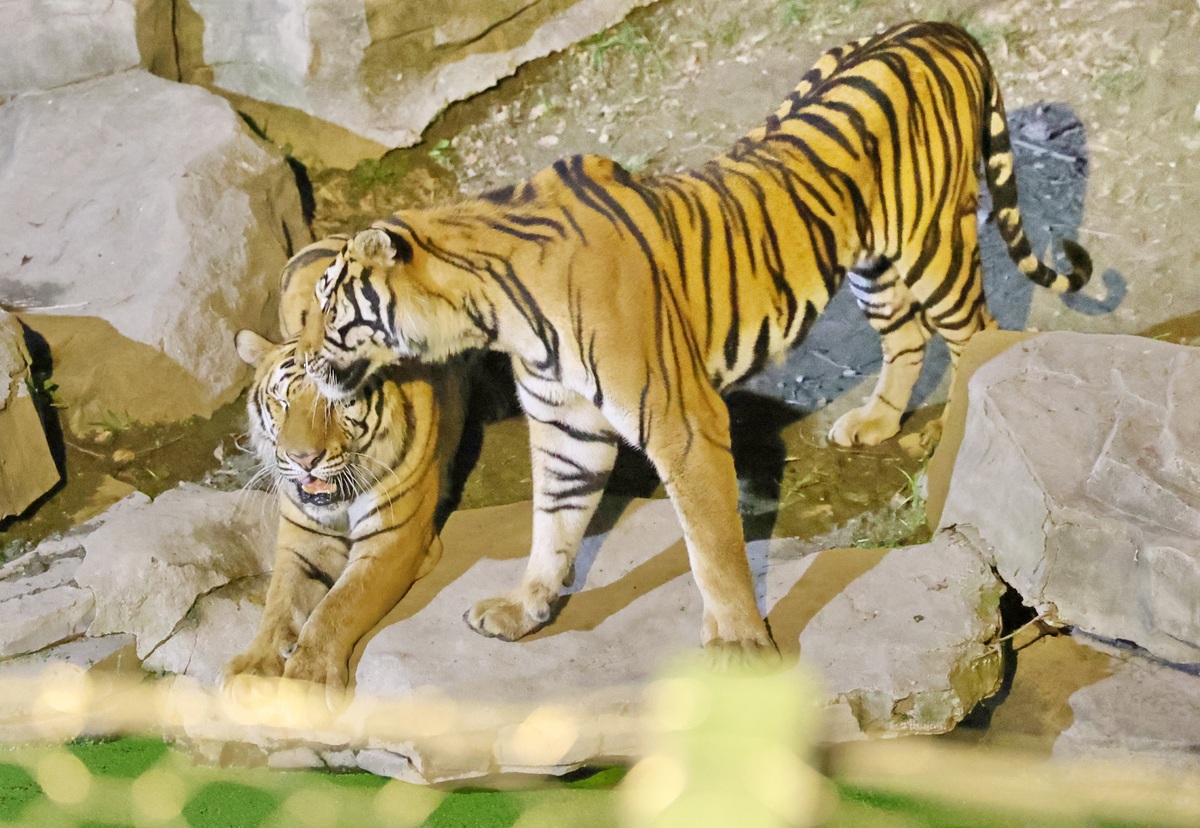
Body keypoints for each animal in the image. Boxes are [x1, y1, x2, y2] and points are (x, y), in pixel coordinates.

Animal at [223, 236, 468, 690]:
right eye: (282, 401)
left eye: (336, 401)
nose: (304, 459)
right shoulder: (302, 539)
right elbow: (280, 602)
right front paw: (256, 667)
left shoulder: (394, 541)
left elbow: (339, 606)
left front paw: (307, 679)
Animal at [294, 21, 1092, 661]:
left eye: (327, 305)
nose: (303, 366)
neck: (492, 313)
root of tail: (941, 27)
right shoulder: (564, 427)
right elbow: (552, 526)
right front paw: (523, 610)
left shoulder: (682, 422)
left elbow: (712, 546)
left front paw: (738, 644)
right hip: (871, 262)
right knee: (905, 337)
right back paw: (873, 423)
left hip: (934, 246)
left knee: (979, 337)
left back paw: (950, 445)